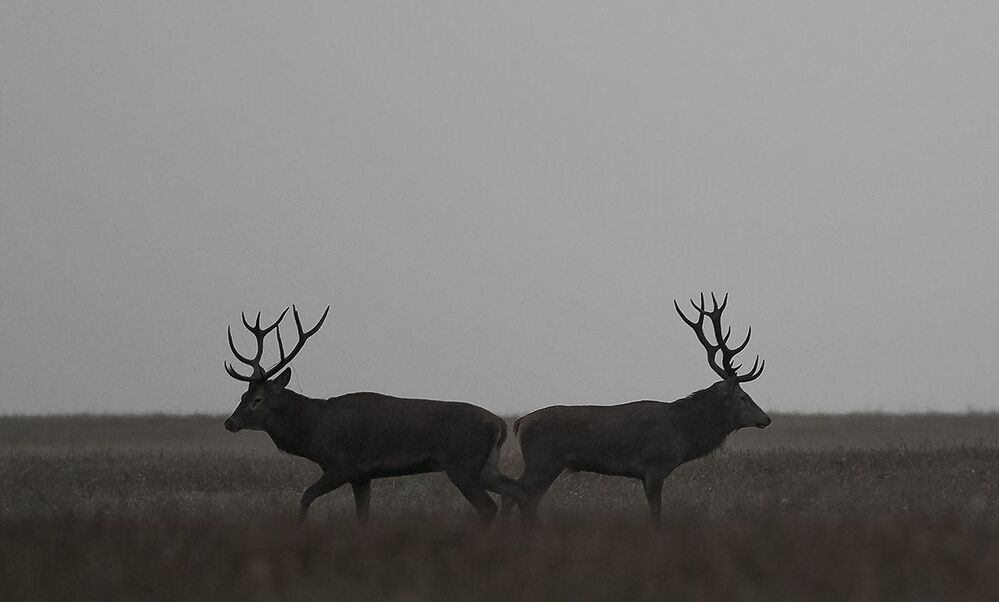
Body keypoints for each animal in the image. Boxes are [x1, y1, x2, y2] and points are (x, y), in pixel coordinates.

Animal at [223, 306, 526, 524]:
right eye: (241, 397)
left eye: (257, 400)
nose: (230, 422)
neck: (314, 429)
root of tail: (499, 424)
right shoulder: (363, 476)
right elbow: (362, 516)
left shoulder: (343, 465)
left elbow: (306, 497)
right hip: (485, 466)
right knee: (517, 490)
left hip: (462, 464)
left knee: (489, 507)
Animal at [503, 293, 770, 522]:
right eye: (744, 396)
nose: (766, 419)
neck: (684, 432)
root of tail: (520, 423)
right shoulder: (654, 466)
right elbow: (656, 513)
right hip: (542, 460)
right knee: (519, 494)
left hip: (547, 464)